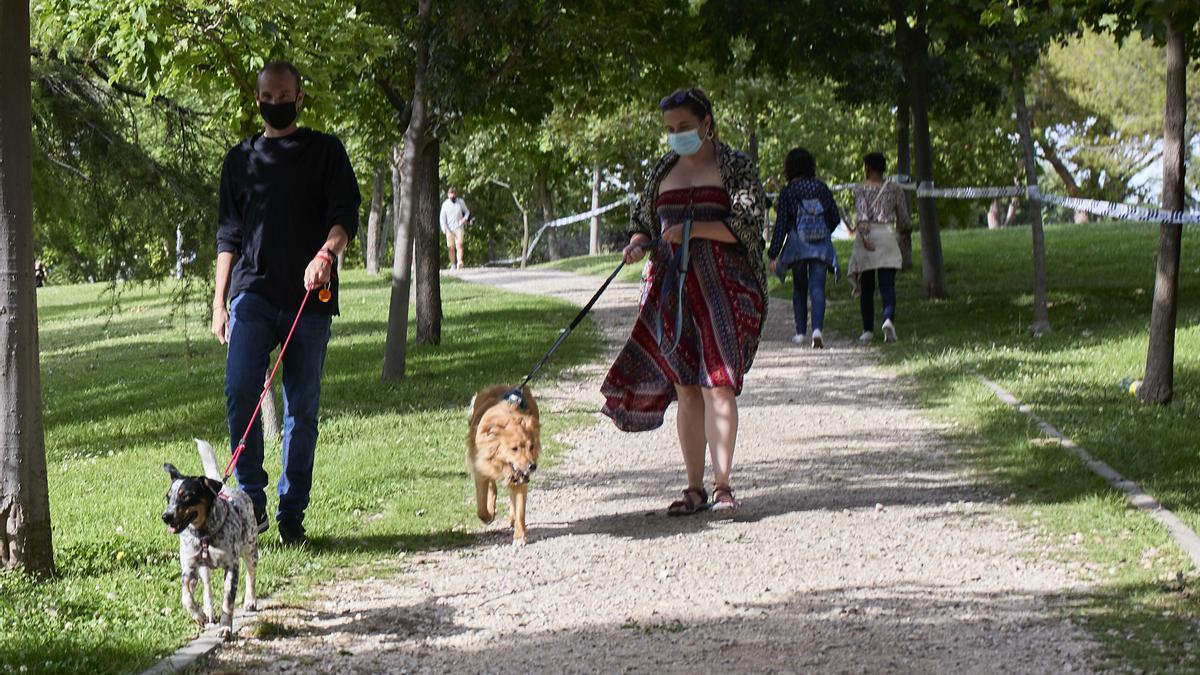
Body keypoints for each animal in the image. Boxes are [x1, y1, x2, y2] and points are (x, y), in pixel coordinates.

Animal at [162, 439, 258, 634]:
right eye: (168, 497)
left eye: (186, 496)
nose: (165, 516)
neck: (204, 535)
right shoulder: (189, 568)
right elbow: (186, 597)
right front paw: (198, 615)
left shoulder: (232, 567)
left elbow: (228, 601)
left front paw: (225, 627)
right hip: (203, 569)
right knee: (207, 587)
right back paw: (208, 611)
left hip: (250, 549)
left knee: (251, 573)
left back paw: (250, 600)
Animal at [468, 381, 544, 542]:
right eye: (514, 448)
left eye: (531, 446)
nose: (532, 466)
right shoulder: (480, 471)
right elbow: (481, 509)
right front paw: (488, 516)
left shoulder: (521, 476)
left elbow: (520, 509)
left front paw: (520, 536)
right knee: (493, 486)